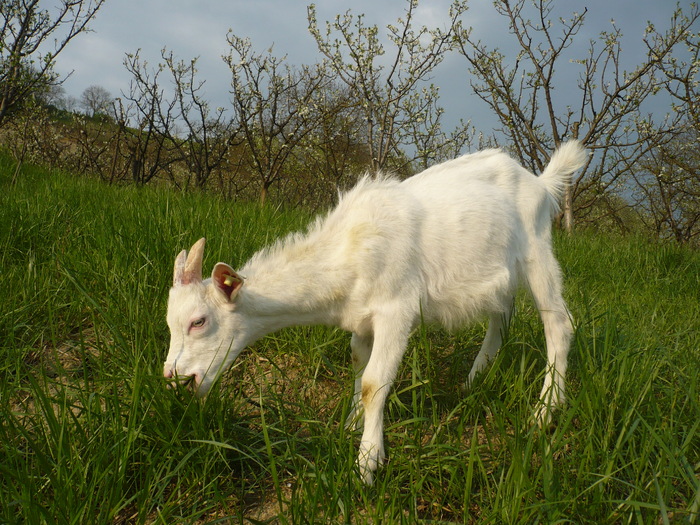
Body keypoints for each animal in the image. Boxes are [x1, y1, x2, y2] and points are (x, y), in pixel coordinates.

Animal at [163, 139, 584, 484]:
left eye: (199, 321)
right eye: (171, 324)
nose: (174, 380)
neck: (348, 249)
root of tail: (540, 183)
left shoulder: (396, 309)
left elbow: (374, 383)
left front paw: (366, 463)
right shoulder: (360, 319)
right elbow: (357, 368)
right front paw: (351, 428)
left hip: (537, 249)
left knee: (558, 323)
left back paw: (544, 412)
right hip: (496, 274)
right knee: (501, 317)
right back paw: (474, 381)